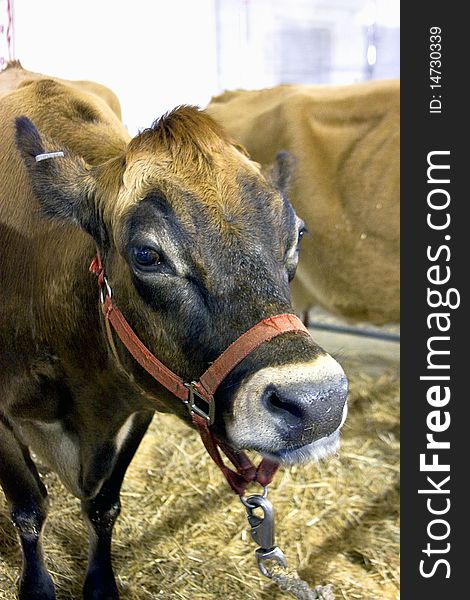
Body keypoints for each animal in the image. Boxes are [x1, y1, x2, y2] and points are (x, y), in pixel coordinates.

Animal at [0, 62, 348, 600]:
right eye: (147, 253)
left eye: (297, 236)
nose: (318, 403)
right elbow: (29, 508)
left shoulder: (141, 400)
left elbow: (104, 506)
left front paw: (101, 583)